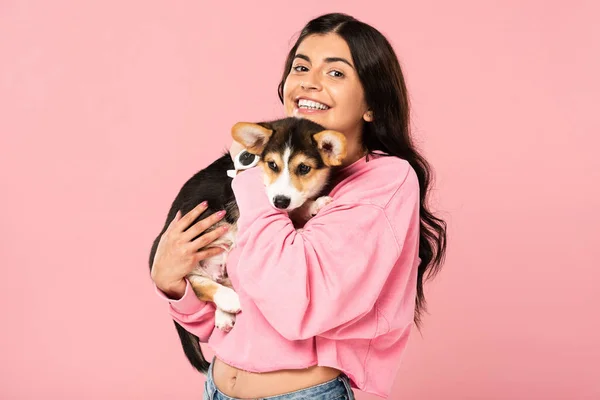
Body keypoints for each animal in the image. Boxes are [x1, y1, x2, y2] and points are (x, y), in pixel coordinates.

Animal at [149, 117, 346, 374]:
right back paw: (229, 300)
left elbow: (295, 207)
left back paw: (224, 315)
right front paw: (299, 224)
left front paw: (314, 204)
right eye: (272, 165)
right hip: (170, 254)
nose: (280, 201)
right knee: (196, 282)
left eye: (304, 168)